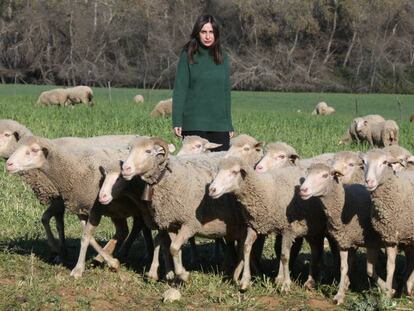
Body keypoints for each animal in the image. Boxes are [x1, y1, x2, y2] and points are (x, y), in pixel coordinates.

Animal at [5, 135, 152, 280]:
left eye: (35, 150)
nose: (8, 164)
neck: (71, 166)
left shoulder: (95, 208)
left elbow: (85, 237)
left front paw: (78, 269)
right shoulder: (81, 207)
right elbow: (87, 236)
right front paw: (112, 262)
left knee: (135, 227)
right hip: (118, 209)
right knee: (125, 230)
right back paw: (105, 257)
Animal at [119, 138, 249, 284]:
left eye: (148, 151)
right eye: (130, 149)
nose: (125, 169)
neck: (168, 177)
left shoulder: (191, 223)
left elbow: (174, 247)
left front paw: (183, 274)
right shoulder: (172, 224)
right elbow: (174, 248)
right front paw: (179, 274)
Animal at [209, 158, 328, 292]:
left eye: (234, 172)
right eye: (218, 170)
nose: (211, 189)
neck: (265, 189)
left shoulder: (288, 229)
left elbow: (284, 256)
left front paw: (286, 285)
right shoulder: (254, 226)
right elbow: (246, 248)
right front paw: (244, 281)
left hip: (314, 228)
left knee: (315, 251)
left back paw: (311, 280)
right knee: (315, 250)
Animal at [300, 165, 386, 306]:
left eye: (325, 175)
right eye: (307, 174)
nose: (303, 190)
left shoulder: (370, 242)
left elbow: (369, 269)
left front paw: (388, 289)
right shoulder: (344, 242)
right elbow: (344, 267)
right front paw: (340, 293)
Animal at [362, 149, 414, 298]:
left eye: (384, 162)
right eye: (363, 162)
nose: (369, 182)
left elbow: (391, 266)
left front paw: (388, 294)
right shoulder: (385, 237)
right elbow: (376, 268)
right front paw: (389, 289)